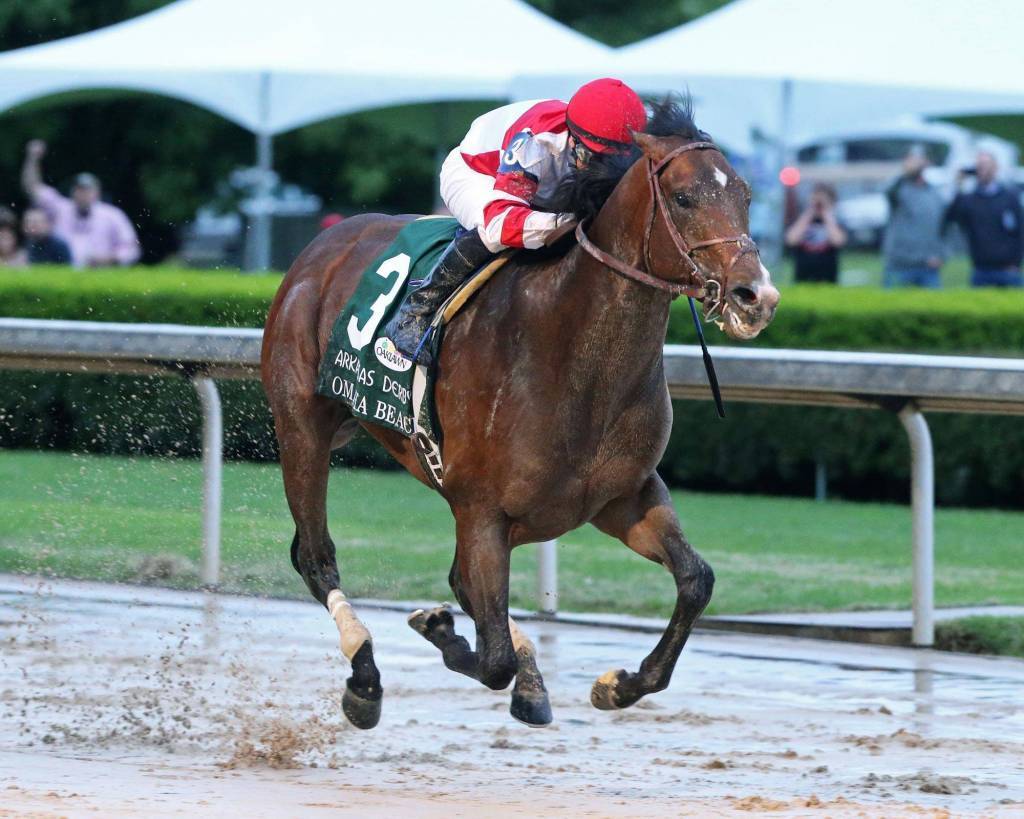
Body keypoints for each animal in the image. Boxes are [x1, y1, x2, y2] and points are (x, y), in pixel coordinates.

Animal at [262, 102, 774, 728]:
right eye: (683, 198)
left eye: (745, 194)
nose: (757, 297)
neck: (571, 352)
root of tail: (324, 243)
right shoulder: (482, 511)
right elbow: (493, 657)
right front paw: (442, 632)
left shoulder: (622, 496)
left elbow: (697, 580)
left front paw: (619, 684)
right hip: (302, 427)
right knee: (316, 557)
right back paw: (365, 678)